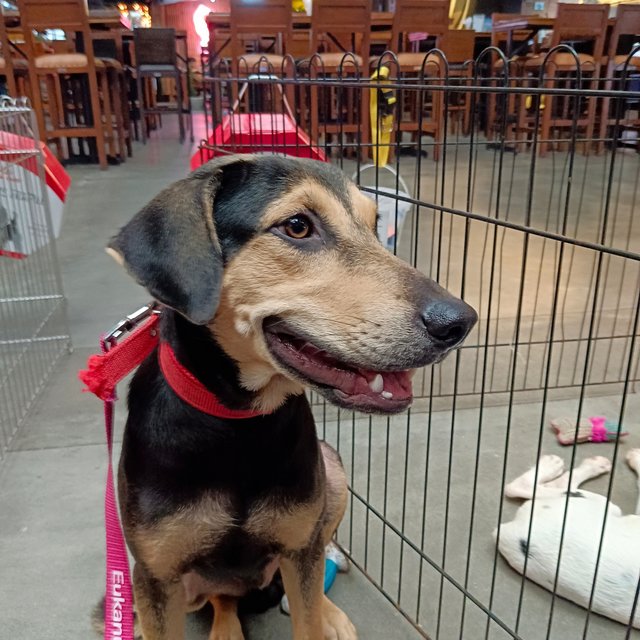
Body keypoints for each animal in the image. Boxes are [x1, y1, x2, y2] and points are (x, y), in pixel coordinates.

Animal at [104, 156, 476, 640]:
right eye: (297, 226)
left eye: (376, 226)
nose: (461, 322)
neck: (237, 421)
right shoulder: (156, 578)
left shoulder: (300, 549)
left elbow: (308, 611)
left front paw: (322, 617)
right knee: (222, 598)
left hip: (331, 472)